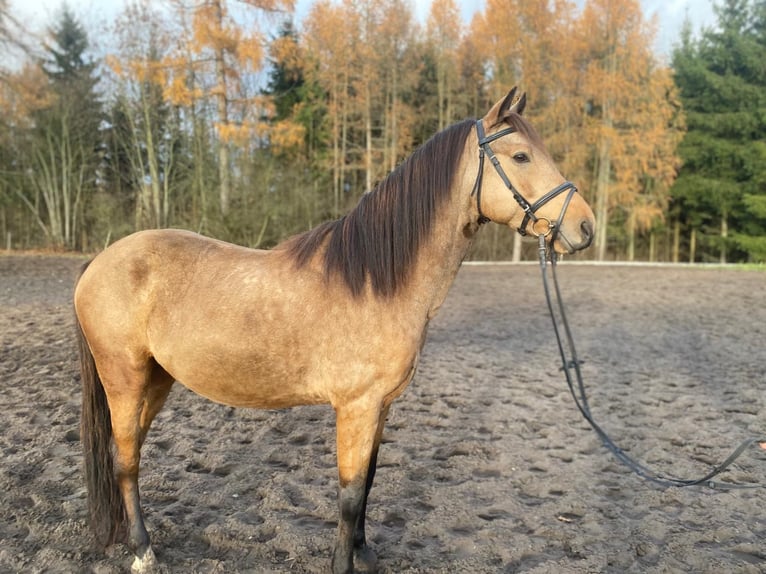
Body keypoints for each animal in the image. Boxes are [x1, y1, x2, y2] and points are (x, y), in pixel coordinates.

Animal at [74, 88, 595, 574]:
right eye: (521, 156)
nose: (585, 226)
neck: (375, 282)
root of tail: (99, 261)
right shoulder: (356, 407)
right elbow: (348, 495)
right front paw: (344, 561)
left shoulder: (380, 408)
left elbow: (368, 484)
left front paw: (364, 554)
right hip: (124, 380)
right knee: (125, 460)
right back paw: (143, 551)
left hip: (157, 381)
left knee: (128, 455)